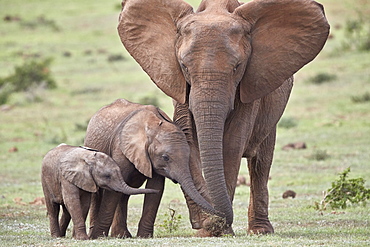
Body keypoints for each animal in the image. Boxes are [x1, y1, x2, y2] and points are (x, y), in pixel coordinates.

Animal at [116, 0, 330, 235]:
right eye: (184, 66)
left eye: (237, 67)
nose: (202, 222)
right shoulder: (179, 86)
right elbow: (187, 139)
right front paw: (207, 228)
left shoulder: (248, 85)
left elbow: (231, 144)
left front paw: (218, 229)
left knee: (261, 163)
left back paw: (260, 230)